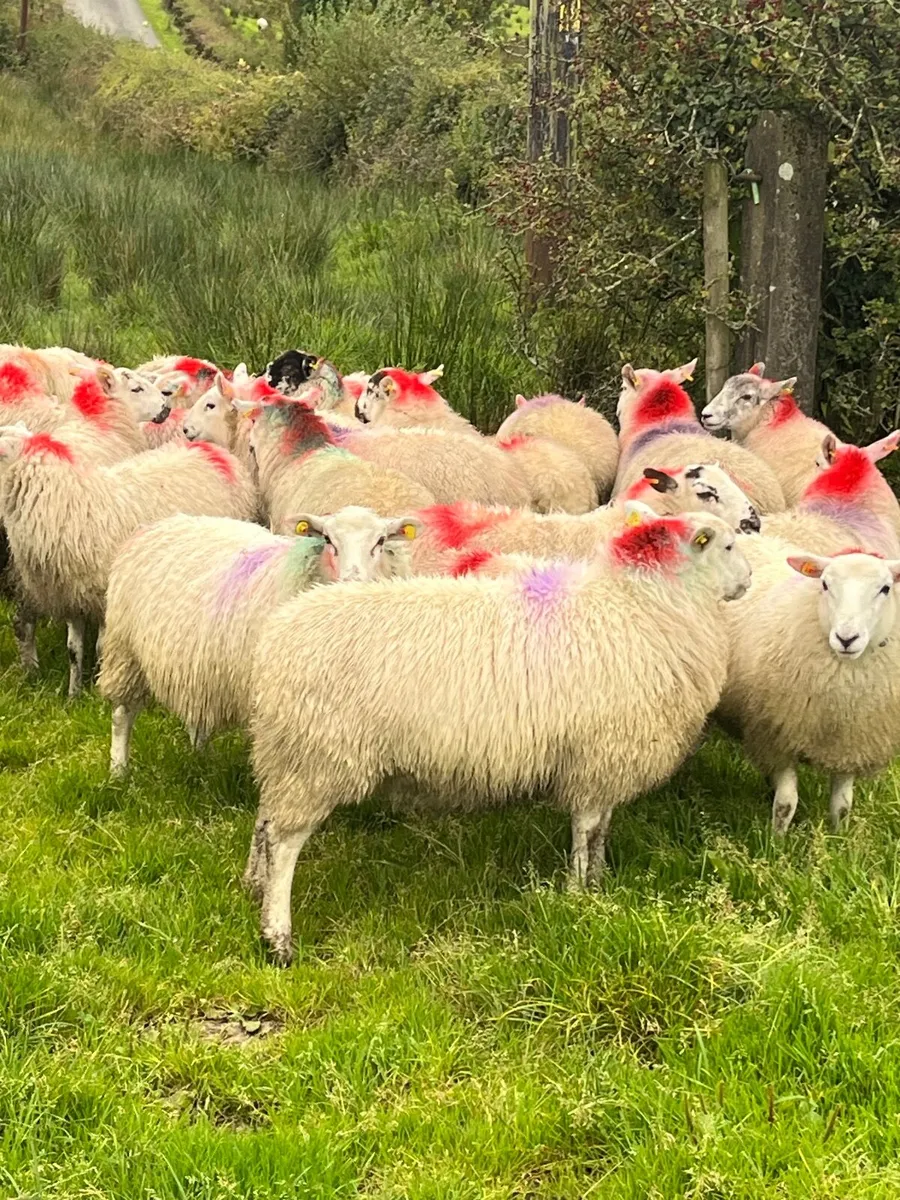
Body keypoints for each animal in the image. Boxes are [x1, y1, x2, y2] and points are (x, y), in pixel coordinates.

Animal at [0, 426, 256, 696]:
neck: (71, 503)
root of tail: (213, 451)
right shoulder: (73, 596)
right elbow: (73, 650)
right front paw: (73, 694)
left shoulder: (105, 596)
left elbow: (101, 646)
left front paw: (97, 688)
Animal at [99, 506, 420, 774]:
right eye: (329, 539)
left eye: (380, 541)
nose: (352, 583)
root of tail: (162, 523)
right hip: (124, 650)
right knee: (122, 715)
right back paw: (118, 771)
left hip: (198, 662)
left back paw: (201, 759)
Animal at [247, 506, 751, 962]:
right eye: (728, 545)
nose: (748, 580)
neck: (643, 604)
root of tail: (276, 636)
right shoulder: (595, 755)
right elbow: (586, 829)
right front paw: (577, 896)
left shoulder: (606, 761)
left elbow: (602, 830)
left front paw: (599, 882)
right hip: (316, 757)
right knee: (285, 843)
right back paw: (278, 938)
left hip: (287, 754)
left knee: (266, 822)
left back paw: (254, 886)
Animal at [719, 547, 900, 835]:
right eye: (824, 584)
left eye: (885, 588)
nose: (846, 639)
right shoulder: (777, 737)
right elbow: (786, 803)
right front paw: (776, 840)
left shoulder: (851, 742)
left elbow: (842, 805)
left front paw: (839, 838)